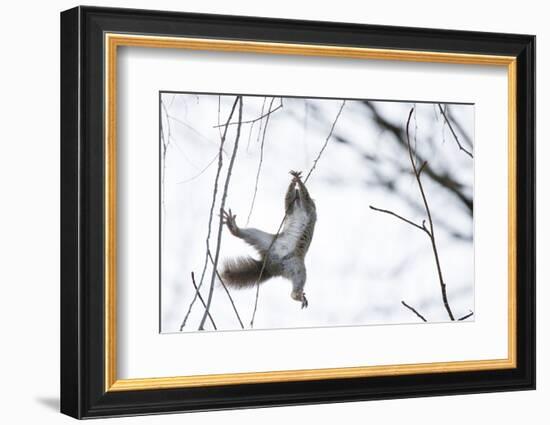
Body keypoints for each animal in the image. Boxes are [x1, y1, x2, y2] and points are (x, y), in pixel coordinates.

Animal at [220, 170, 316, 308]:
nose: (296, 193)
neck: (298, 207)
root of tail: (269, 266)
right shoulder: (290, 209)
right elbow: (287, 201)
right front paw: (293, 183)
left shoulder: (309, 207)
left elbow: (306, 196)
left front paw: (298, 181)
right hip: (263, 240)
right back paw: (233, 228)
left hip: (296, 266)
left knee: (298, 280)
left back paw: (297, 295)